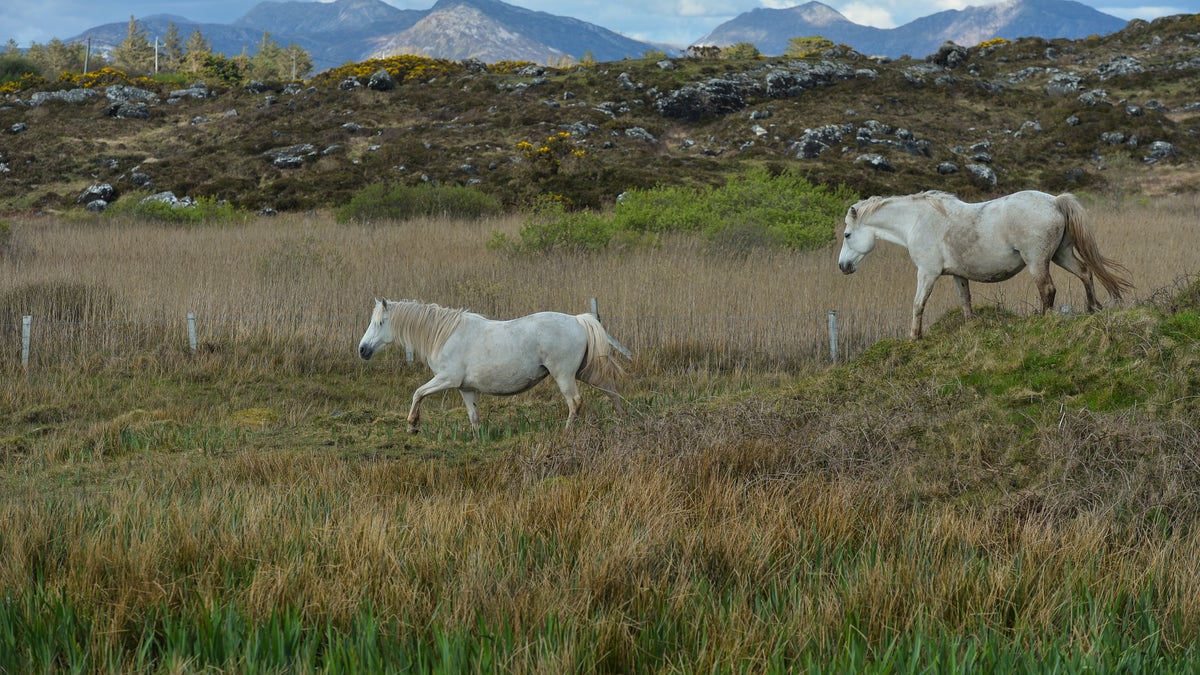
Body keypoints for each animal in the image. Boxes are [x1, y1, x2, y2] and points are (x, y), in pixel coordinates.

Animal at [355, 297, 633, 429]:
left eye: (380, 322)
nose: (362, 350)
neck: (445, 335)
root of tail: (578, 320)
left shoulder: (447, 379)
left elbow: (418, 393)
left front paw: (413, 425)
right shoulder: (466, 388)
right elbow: (474, 416)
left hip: (564, 375)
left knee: (575, 403)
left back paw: (566, 432)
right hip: (585, 372)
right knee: (611, 390)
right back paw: (622, 421)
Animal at [835, 187, 1132, 336]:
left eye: (847, 234)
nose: (842, 267)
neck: (918, 221)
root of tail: (1055, 201)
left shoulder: (927, 273)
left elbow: (918, 305)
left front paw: (914, 338)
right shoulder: (958, 275)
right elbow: (965, 303)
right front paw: (970, 329)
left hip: (1038, 261)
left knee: (1048, 290)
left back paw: (1043, 321)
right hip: (1062, 255)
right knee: (1085, 273)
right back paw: (1092, 308)